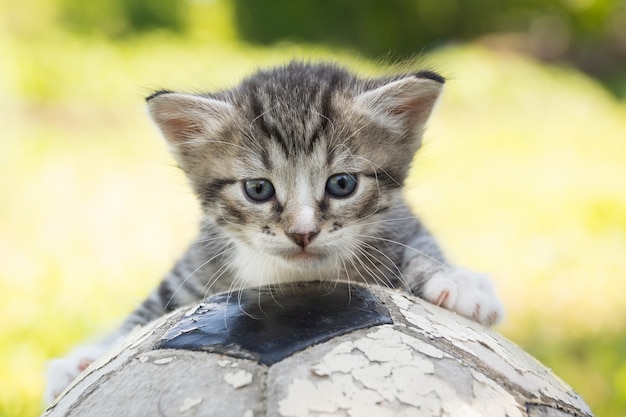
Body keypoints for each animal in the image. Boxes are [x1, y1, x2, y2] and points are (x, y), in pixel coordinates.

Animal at [44, 61, 502, 404]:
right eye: (258, 189)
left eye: (342, 184)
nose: (302, 232)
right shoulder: (198, 261)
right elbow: (151, 307)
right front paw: (87, 358)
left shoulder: (400, 221)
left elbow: (419, 243)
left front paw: (458, 282)